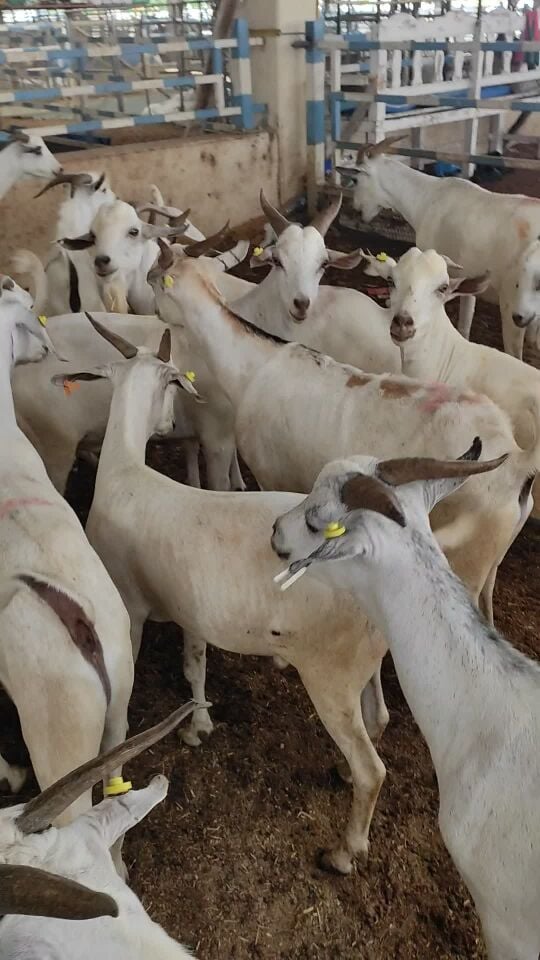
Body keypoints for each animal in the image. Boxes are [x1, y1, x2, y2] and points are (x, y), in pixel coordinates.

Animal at [61, 314, 392, 876]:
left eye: (172, 382)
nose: (168, 427)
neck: (126, 471)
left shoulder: (131, 608)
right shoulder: (192, 607)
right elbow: (195, 662)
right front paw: (198, 722)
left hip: (331, 673)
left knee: (374, 770)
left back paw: (345, 851)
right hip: (363, 664)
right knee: (380, 720)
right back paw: (344, 774)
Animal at [149, 250, 537, 622]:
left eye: (159, 279)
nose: (150, 283)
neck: (252, 368)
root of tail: (518, 463)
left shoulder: (272, 474)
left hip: (471, 556)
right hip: (492, 554)